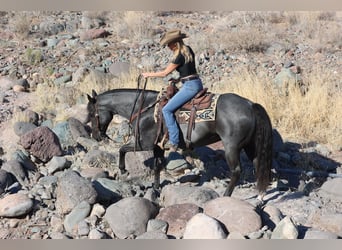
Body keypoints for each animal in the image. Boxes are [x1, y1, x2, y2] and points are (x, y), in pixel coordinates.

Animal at [87, 87, 274, 198]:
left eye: (90, 113)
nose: (96, 136)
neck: (145, 108)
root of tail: (250, 105)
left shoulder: (144, 143)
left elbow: (122, 149)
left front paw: (123, 170)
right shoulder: (158, 146)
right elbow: (157, 165)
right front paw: (156, 188)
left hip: (231, 147)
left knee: (236, 170)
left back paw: (226, 195)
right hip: (250, 146)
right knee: (258, 165)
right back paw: (260, 195)